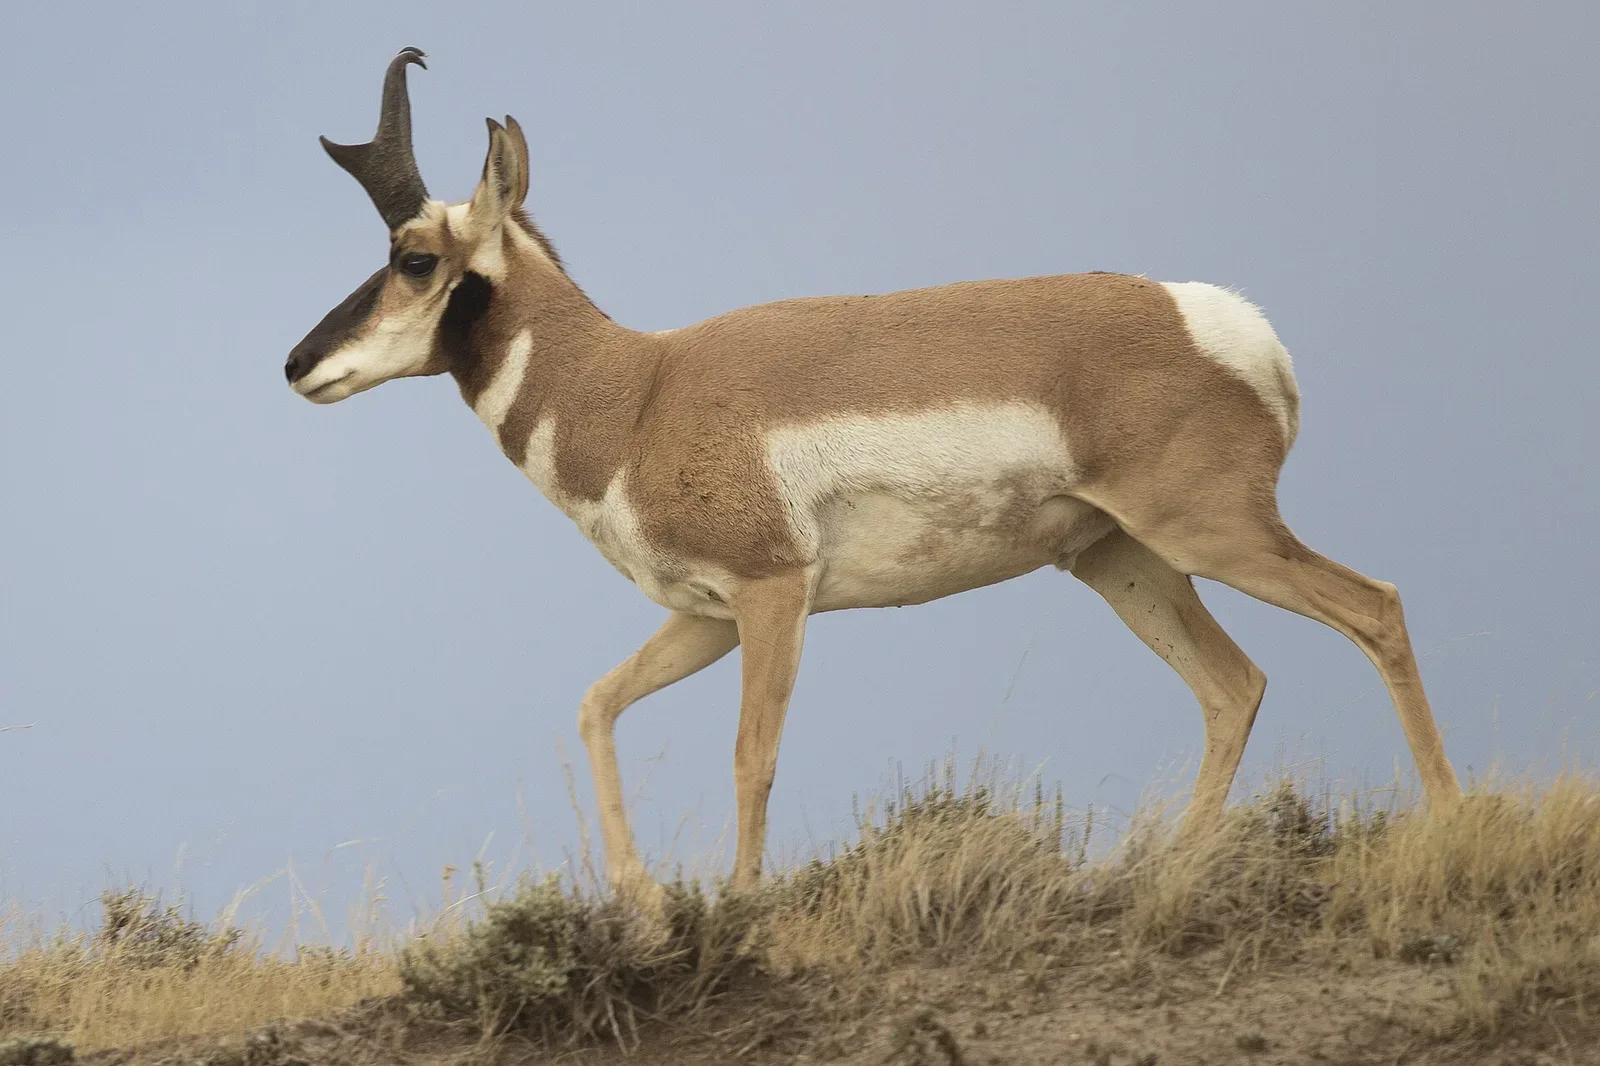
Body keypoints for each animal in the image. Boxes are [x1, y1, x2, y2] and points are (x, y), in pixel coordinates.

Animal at [286, 49, 1462, 894]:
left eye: (415, 259)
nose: (296, 364)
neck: (642, 389)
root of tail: (1225, 322)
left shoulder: (771, 596)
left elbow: (750, 754)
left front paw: (740, 905)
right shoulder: (705, 618)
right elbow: (594, 707)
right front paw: (641, 902)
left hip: (1208, 534)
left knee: (1376, 607)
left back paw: (1448, 818)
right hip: (1123, 563)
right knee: (1234, 685)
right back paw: (1164, 870)